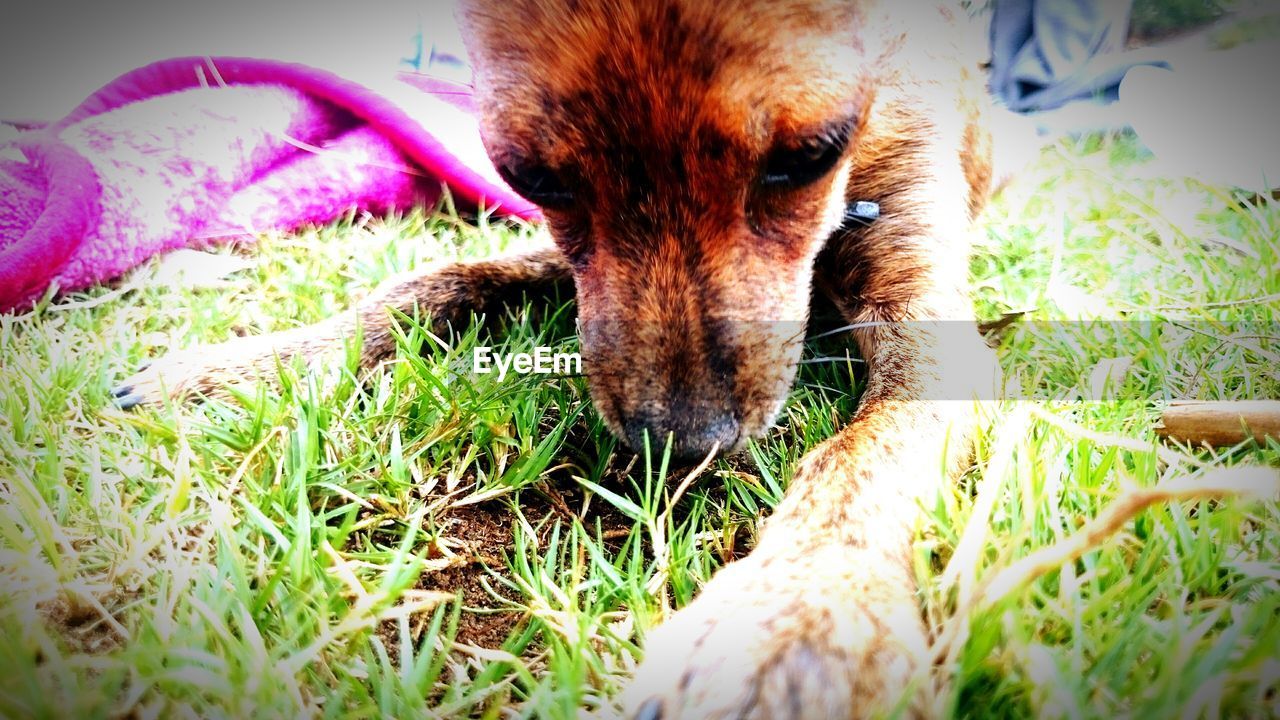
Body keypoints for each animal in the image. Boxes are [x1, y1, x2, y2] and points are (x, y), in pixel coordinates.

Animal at [120, 2, 998, 712]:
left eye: (810, 156)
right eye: (530, 176)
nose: (682, 446)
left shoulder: (930, 329)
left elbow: (862, 455)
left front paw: (797, 616)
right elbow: (434, 279)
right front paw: (245, 366)